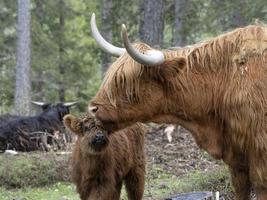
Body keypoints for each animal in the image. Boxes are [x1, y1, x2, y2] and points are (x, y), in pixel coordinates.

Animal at [89, 14, 267, 200]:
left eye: (125, 81)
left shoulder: (260, 151)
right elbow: (241, 188)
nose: (92, 109)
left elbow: (260, 186)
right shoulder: (237, 157)